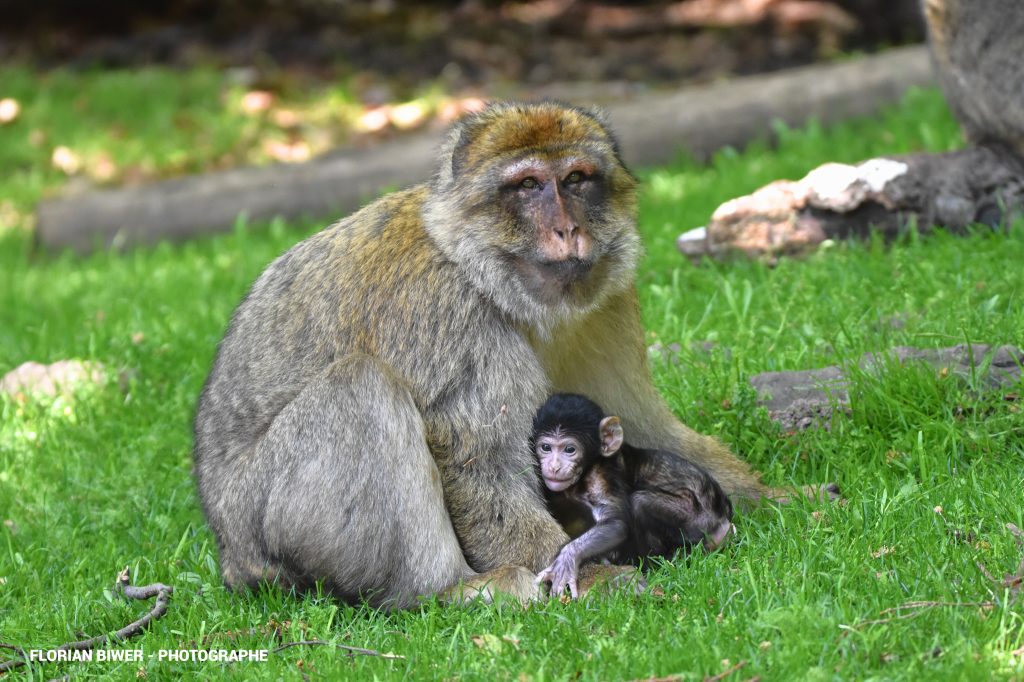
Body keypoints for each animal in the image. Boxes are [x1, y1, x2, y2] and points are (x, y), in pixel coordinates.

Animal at [532, 393, 733, 593]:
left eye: (570, 449)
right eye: (546, 448)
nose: (554, 466)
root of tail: (724, 517)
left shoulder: (601, 477)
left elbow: (616, 523)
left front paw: (567, 559)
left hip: (699, 519)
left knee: (640, 502)